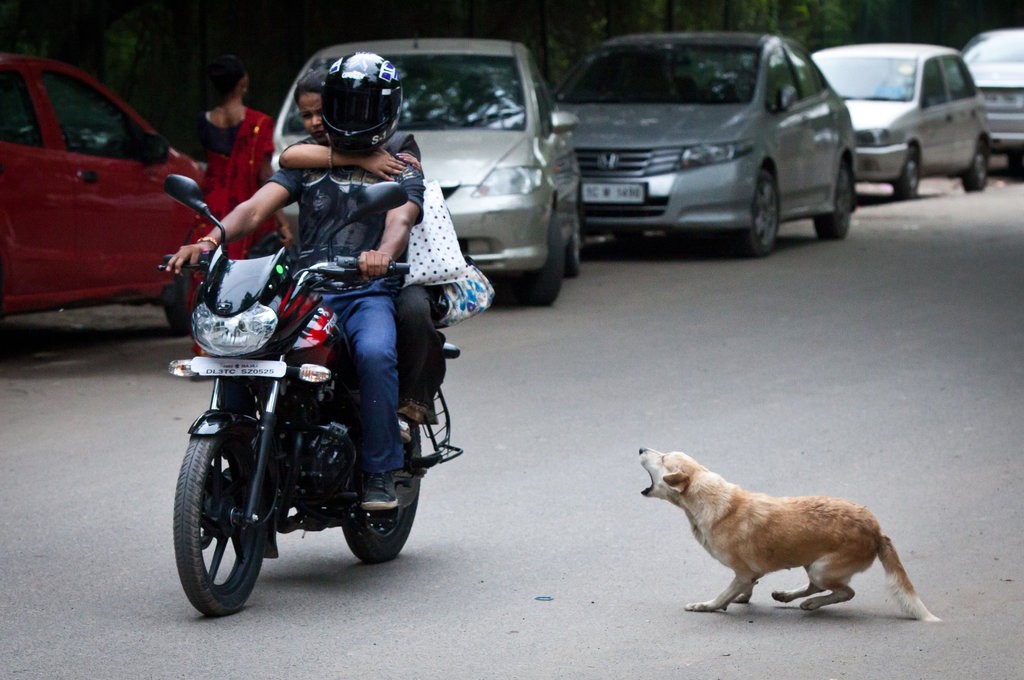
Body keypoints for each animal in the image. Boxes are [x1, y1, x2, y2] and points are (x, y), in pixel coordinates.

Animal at [638, 448, 942, 618]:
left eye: (663, 457)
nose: (641, 447)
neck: (710, 500)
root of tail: (877, 530)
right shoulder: (748, 574)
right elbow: (744, 588)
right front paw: (742, 598)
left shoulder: (742, 572)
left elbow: (723, 595)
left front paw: (707, 606)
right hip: (813, 565)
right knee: (818, 586)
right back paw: (787, 596)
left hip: (822, 568)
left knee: (845, 592)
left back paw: (812, 604)